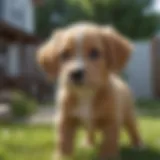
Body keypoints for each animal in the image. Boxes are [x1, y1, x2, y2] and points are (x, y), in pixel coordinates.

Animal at [37, 22, 142, 160]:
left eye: (95, 53)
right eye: (64, 54)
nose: (76, 73)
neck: (85, 93)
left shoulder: (111, 120)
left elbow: (109, 142)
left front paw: (108, 156)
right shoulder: (65, 119)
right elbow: (63, 141)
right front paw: (62, 157)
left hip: (129, 115)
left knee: (133, 129)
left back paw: (138, 145)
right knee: (89, 132)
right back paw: (88, 144)